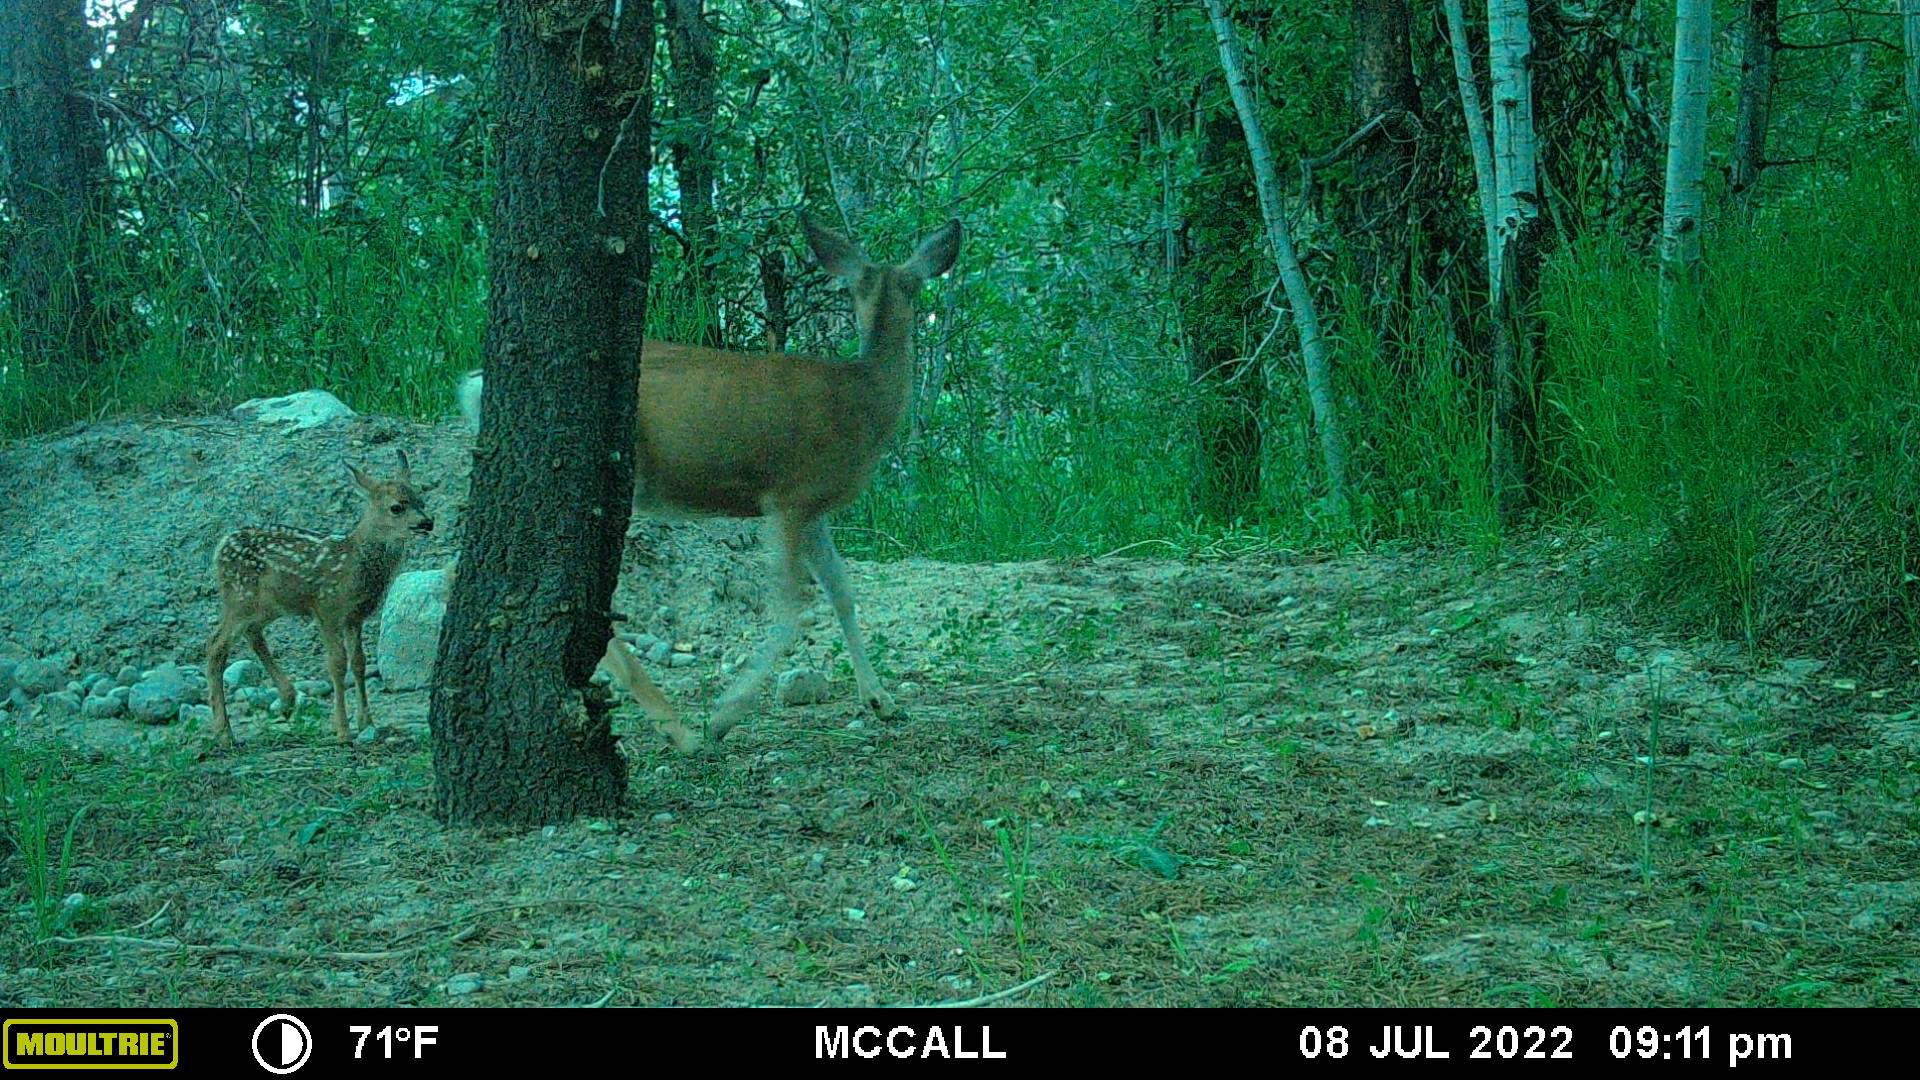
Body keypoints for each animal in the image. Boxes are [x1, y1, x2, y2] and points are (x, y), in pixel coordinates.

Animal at [205, 451, 436, 747]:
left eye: (422, 501)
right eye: (397, 507)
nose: (427, 522)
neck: (353, 564)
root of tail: (221, 546)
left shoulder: (355, 616)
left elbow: (359, 662)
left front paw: (367, 722)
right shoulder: (327, 608)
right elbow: (336, 664)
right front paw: (343, 730)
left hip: (268, 605)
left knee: (252, 633)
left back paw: (287, 699)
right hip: (239, 596)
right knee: (215, 646)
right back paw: (225, 732)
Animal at [458, 213, 962, 753]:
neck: (865, 399)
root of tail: (474, 384)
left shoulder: (814, 508)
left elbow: (841, 591)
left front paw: (881, 700)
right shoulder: (789, 495)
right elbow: (794, 604)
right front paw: (725, 714)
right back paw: (680, 728)